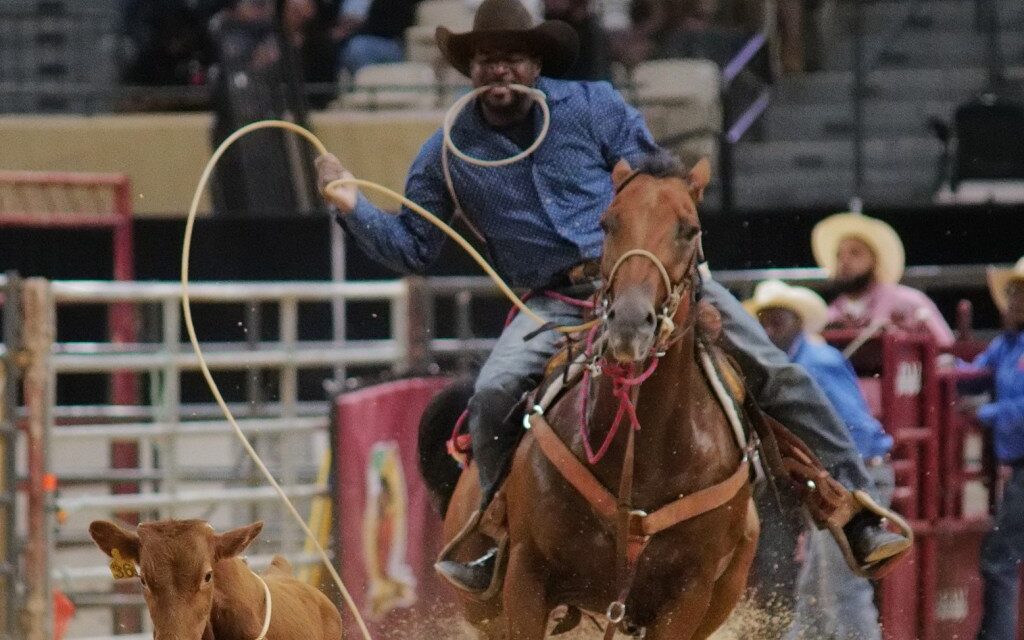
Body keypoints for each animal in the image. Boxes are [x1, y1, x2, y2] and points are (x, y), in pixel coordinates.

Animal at [423, 155, 761, 638]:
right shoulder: (525, 576)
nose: (630, 322)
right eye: (607, 223)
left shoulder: (686, 599)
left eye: (690, 228)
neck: (644, 454)